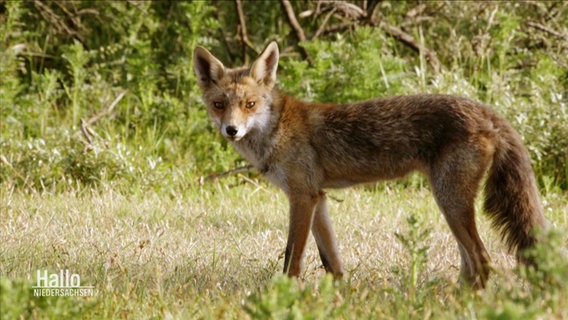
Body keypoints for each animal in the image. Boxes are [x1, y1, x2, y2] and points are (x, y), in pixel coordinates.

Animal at [193, 41, 548, 288]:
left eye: (250, 104)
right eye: (219, 105)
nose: (231, 130)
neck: (277, 129)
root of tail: (487, 111)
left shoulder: (302, 197)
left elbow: (292, 259)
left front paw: (283, 297)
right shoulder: (318, 197)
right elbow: (332, 262)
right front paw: (340, 299)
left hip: (450, 200)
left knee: (482, 260)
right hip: (451, 204)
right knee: (471, 263)